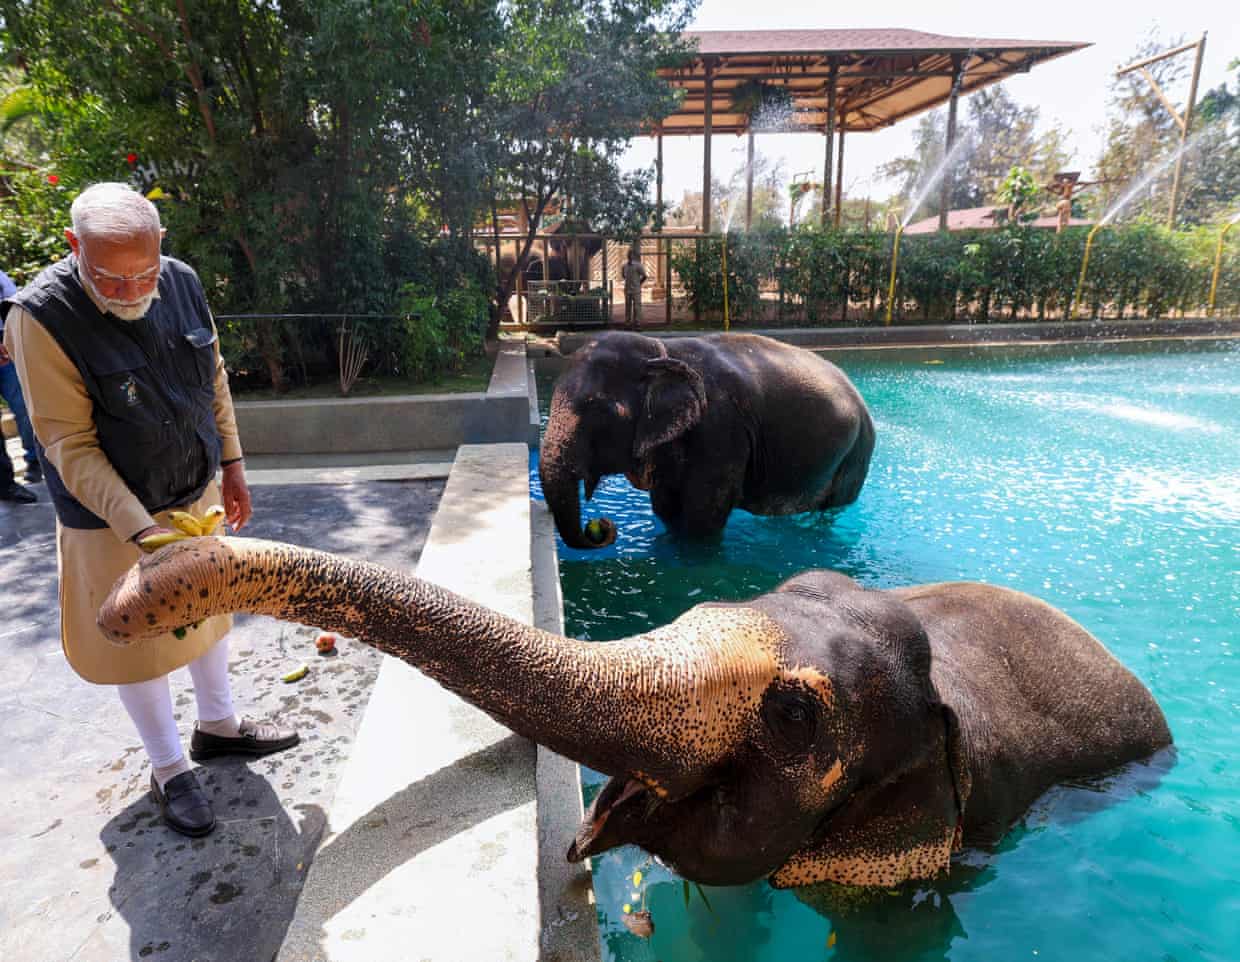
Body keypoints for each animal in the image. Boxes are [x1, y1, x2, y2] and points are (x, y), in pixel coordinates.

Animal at [539, 331, 875, 548]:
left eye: (602, 410)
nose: (602, 526)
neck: (660, 349)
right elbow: (666, 507)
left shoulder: (722, 430)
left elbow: (702, 518)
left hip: (856, 454)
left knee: (833, 509)